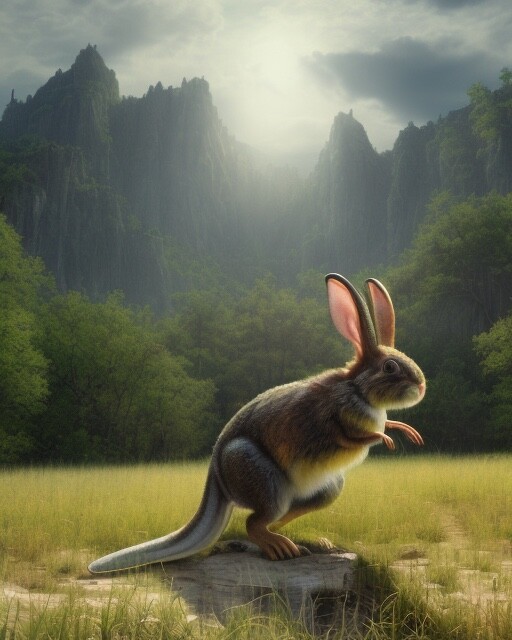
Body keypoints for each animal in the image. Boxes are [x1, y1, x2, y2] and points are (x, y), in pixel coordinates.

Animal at [88, 274, 425, 572]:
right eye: (390, 367)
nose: (422, 386)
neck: (358, 387)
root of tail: (217, 477)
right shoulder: (337, 418)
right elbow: (354, 436)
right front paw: (386, 438)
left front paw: (403, 431)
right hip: (263, 477)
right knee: (253, 522)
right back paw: (282, 550)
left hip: (327, 489)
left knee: (273, 519)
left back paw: (310, 542)